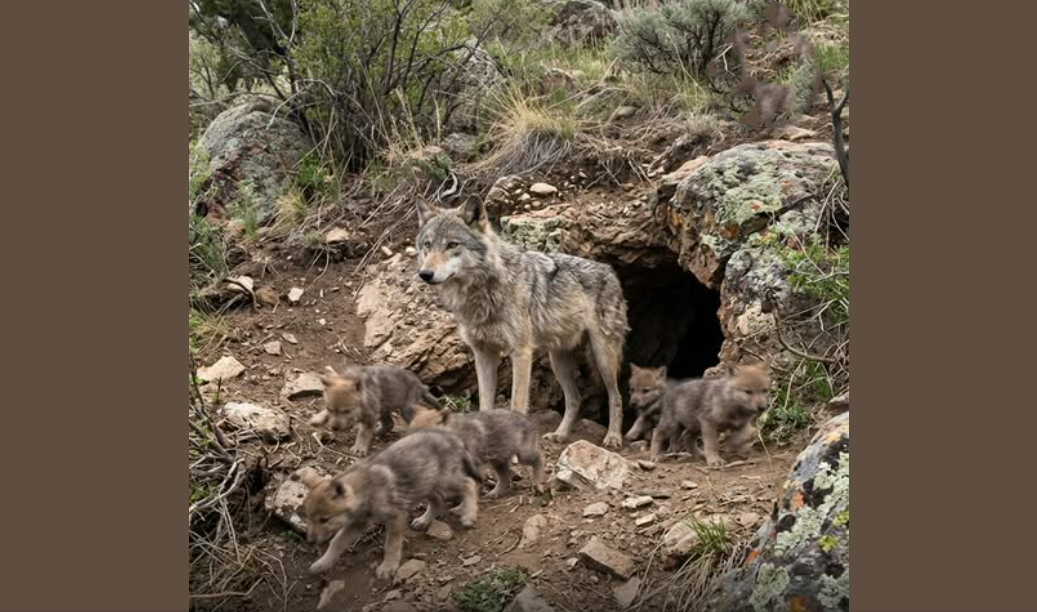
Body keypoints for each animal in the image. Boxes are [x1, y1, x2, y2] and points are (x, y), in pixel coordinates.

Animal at [292, 429, 481, 579]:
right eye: (309, 518)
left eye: (324, 519)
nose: (310, 541)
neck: (365, 490)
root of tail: (453, 438)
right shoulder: (356, 523)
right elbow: (336, 542)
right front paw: (323, 563)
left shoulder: (395, 517)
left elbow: (391, 545)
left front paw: (388, 567)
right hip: (428, 484)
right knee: (438, 503)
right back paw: (424, 520)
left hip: (445, 482)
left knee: (469, 483)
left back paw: (468, 514)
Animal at [309, 365, 440, 457]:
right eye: (330, 409)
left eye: (347, 411)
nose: (335, 428)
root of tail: (421, 385)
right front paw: (317, 419)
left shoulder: (370, 415)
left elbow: (364, 433)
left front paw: (359, 448)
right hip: (383, 408)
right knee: (389, 424)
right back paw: (376, 432)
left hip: (405, 409)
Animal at [409, 406, 546, 497]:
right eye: (408, 433)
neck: (456, 434)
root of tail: (527, 418)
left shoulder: (475, 466)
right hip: (498, 462)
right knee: (505, 478)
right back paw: (494, 493)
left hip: (523, 455)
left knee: (539, 459)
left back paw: (537, 485)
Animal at [414, 197, 629, 448]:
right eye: (428, 245)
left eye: (452, 245)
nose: (425, 274)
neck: (485, 291)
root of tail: (610, 270)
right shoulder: (483, 354)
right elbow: (485, 404)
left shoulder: (521, 353)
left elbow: (517, 404)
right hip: (558, 361)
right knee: (575, 398)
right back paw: (560, 435)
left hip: (603, 356)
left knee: (616, 396)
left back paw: (613, 437)